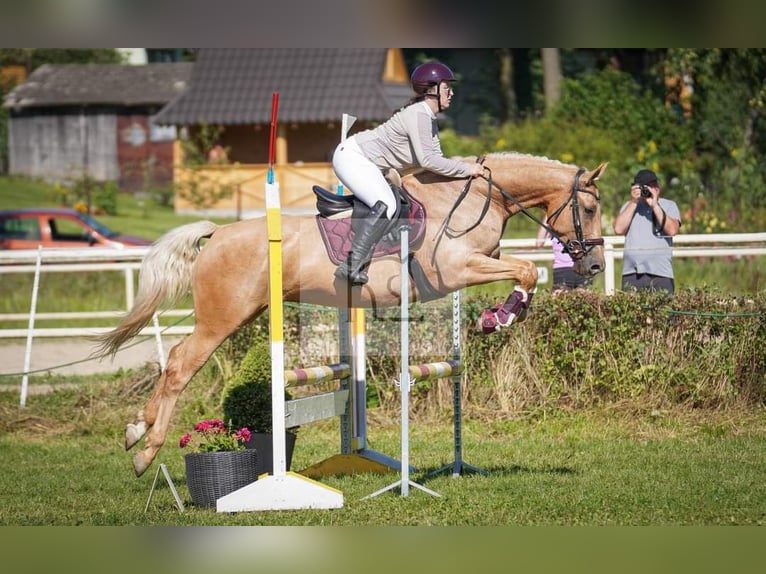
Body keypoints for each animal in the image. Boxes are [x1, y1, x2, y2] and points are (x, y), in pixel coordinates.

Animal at [99, 153, 608, 476]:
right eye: (587, 208)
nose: (596, 267)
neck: (475, 200)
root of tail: (218, 233)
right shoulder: (457, 269)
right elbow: (527, 270)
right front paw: (499, 318)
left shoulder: (477, 265)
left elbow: (524, 272)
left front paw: (497, 316)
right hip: (221, 319)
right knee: (181, 365)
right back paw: (145, 452)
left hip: (238, 314)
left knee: (175, 360)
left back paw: (134, 429)